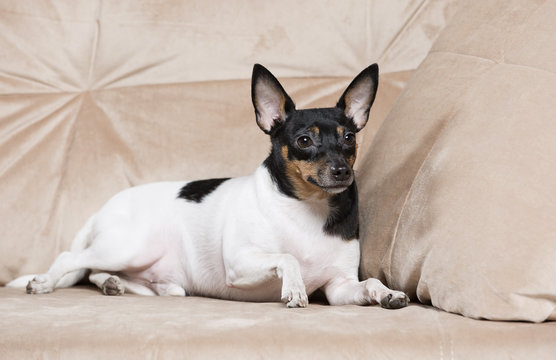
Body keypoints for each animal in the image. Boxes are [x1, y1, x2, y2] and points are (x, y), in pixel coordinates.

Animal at [7, 62, 408, 310]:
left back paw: (112, 285)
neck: (307, 207)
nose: (341, 172)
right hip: (127, 246)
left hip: (149, 272)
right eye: (304, 141)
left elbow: (368, 283)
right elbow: (288, 257)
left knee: (100, 273)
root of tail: (104, 207)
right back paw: (44, 283)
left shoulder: (339, 287)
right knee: (71, 259)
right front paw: (294, 286)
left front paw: (386, 292)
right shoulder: (240, 264)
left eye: (349, 139)